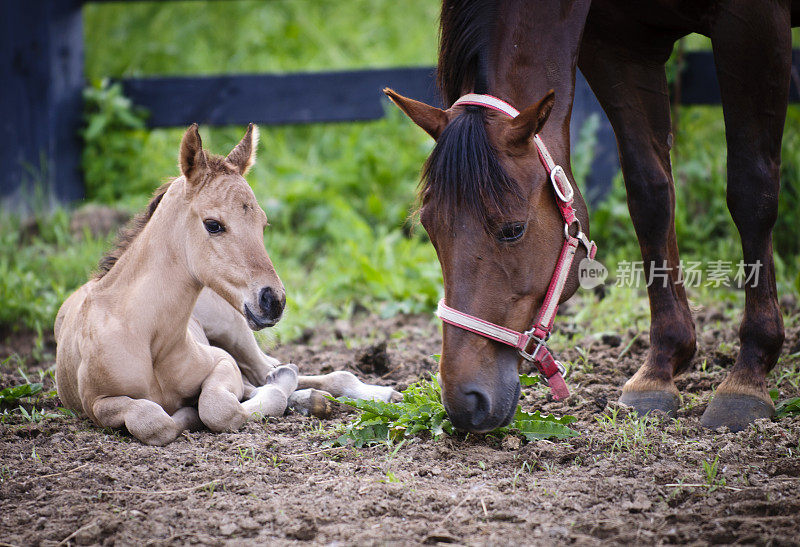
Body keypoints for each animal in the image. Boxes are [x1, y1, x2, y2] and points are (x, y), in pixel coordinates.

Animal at [54, 124, 398, 446]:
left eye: (263, 224)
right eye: (213, 225)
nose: (274, 300)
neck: (147, 335)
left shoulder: (222, 362)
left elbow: (218, 408)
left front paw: (198, 411)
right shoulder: (97, 403)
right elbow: (152, 420)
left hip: (236, 332)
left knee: (276, 372)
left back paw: (374, 393)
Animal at [386, 0, 792, 434]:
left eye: (512, 230)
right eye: (429, 228)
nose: (464, 402)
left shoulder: (752, 25)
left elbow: (751, 193)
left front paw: (747, 377)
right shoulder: (618, 46)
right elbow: (650, 196)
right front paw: (659, 370)